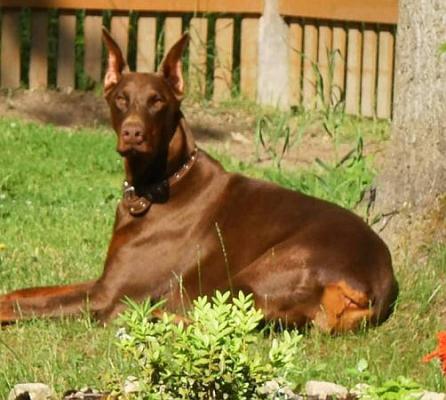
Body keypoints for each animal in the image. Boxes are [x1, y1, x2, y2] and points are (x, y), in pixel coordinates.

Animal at [0, 30, 398, 332]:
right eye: (121, 99)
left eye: (157, 101)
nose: (133, 133)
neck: (162, 183)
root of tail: (377, 282)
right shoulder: (103, 281)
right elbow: (19, 294)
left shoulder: (107, 294)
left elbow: (22, 307)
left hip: (261, 273)